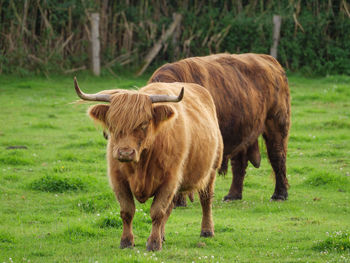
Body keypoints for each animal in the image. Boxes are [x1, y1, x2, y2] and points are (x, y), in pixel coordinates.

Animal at [74, 78, 223, 252]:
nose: (125, 153)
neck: (142, 164)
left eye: (144, 124)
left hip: (211, 170)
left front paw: (153, 243)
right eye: (112, 124)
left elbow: (157, 211)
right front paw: (127, 241)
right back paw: (163, 235)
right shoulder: (118, 179)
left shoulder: (170, 179)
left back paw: (207, 230)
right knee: (170, 208)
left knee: (206, 200)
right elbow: (127, 211)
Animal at [149, 54, 292, 202]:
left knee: (277, 156)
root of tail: (269, 59)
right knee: (239, 163)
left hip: (276, 123)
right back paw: (233, 195)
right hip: (240, 129)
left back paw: (280, 194)